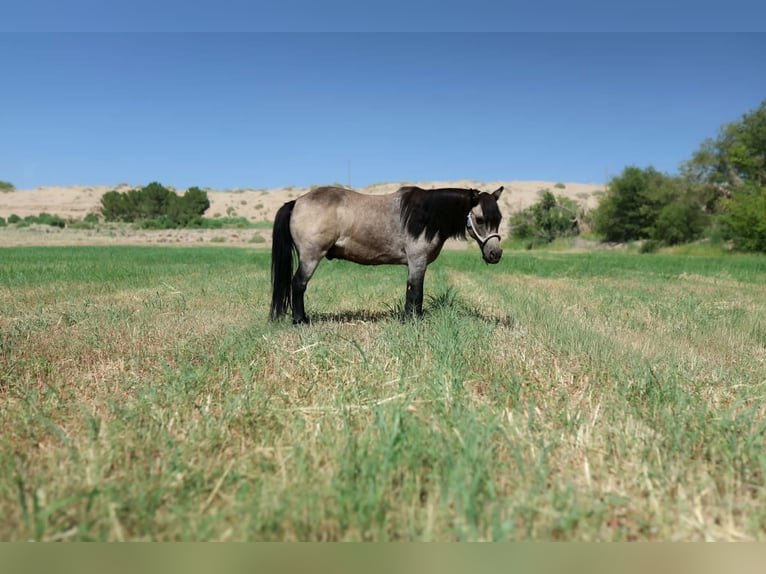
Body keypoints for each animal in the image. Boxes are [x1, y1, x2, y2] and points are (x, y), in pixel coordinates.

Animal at [270, 185, 504, 324]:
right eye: (480, 219)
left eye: (499, 218)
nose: (495, 254)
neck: (426, 215)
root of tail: (296, 202)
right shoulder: (417, 261)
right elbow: (416, 292)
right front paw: (413, 321)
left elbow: (411, 292)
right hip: (310, 257)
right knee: (298, 284)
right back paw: (300, 320)